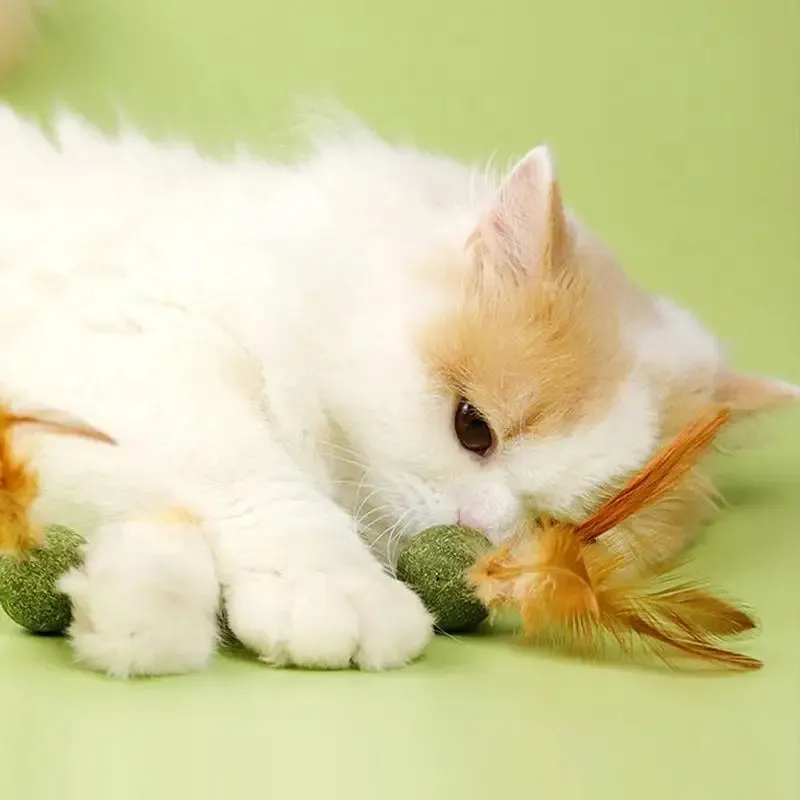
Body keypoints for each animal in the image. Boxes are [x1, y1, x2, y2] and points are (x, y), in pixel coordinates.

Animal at [0, 109, 792, 680]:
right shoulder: (140, 349)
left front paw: (125, 609)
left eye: (564, 530)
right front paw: (333, 593)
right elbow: (264, 485)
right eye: (473, 428)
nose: (477, 532)